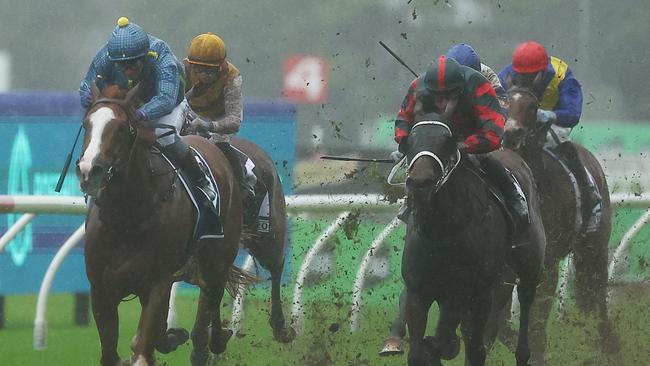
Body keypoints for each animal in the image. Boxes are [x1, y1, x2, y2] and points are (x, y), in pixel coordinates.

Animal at [77, 84, 252, 364]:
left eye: (121, 128)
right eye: (86, 124)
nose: (89, 170)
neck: (127, 218)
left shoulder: (157, 282)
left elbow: (142, 349)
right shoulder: (101, 289)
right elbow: (112, 353)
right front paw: (167, 337)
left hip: (217, 255)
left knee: (213, 292)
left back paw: (214, 339)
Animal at [398, 113, 544, 364]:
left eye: (447, 142)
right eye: (410, 142)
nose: (419, 182)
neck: (443, 232)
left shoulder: (477, 292)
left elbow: (471, 347)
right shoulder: (419, 292)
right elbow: (420, 351)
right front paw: (434, 348)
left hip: (528, 265)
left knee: (524, 299)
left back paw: (522, 352)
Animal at [502, 83, 616, 364]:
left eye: (533, 106)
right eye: (505, 100)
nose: (510, 134)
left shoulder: (548, 263)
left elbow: (538, 319)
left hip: (594, 247)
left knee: (598, 294)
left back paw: (608, 345)